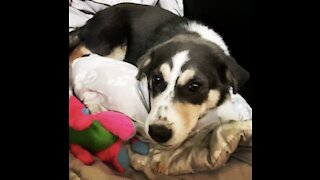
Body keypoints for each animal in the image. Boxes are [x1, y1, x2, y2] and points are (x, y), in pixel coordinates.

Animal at [69, 3, 250, 148]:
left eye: (195, 86)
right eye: (156, 79)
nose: (158, 133)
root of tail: (92, 20)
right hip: (109, 44)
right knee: (76, 53)